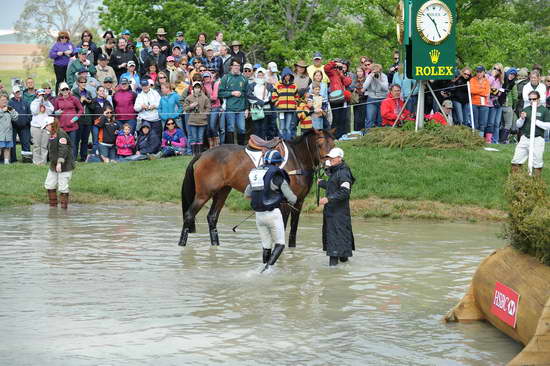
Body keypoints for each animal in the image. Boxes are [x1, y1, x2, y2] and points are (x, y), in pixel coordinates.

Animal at [180, 129, 336, 249]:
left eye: (333, 144)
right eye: (320, 144)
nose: (328, 167)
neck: (297, 159)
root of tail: (203, 154)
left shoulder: (298, 202)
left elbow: (293, 231)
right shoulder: (285, 203)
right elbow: (283, 226)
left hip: (222, 191)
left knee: (212, 217)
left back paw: (215, 246)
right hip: (204, 194)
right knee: (189, 215)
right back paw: (182, 244)